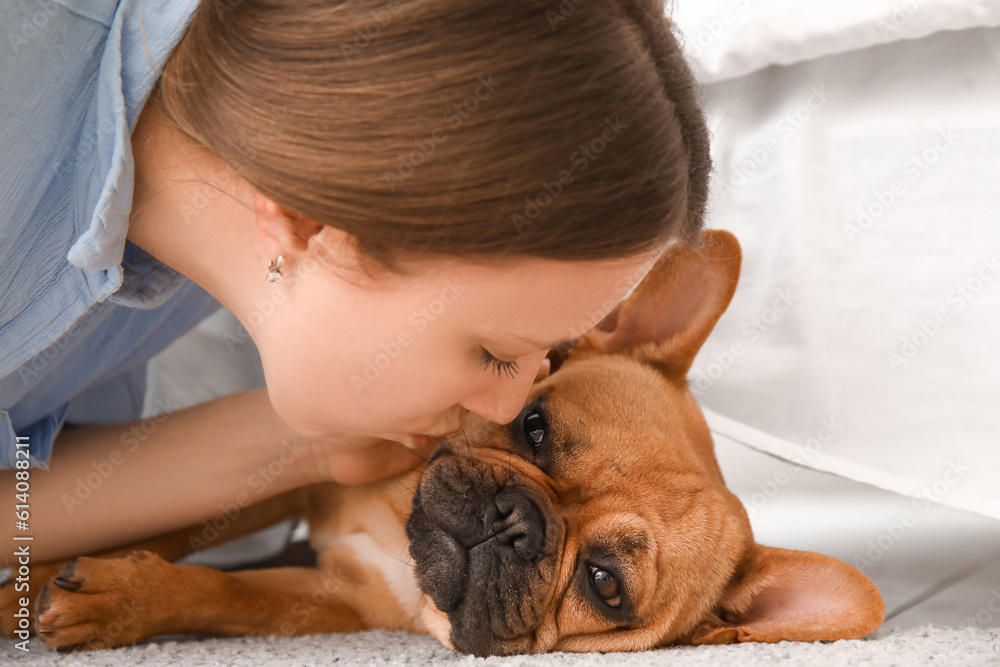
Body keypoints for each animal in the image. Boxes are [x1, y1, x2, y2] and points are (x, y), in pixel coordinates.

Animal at [1, 231, 884, 656]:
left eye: (604, 584)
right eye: (534, 426)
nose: (514, 520)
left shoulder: (335, 599)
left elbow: (225, 594)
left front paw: (114, 597)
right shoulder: (297, 461)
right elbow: (184, 525)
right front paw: (40, 579)